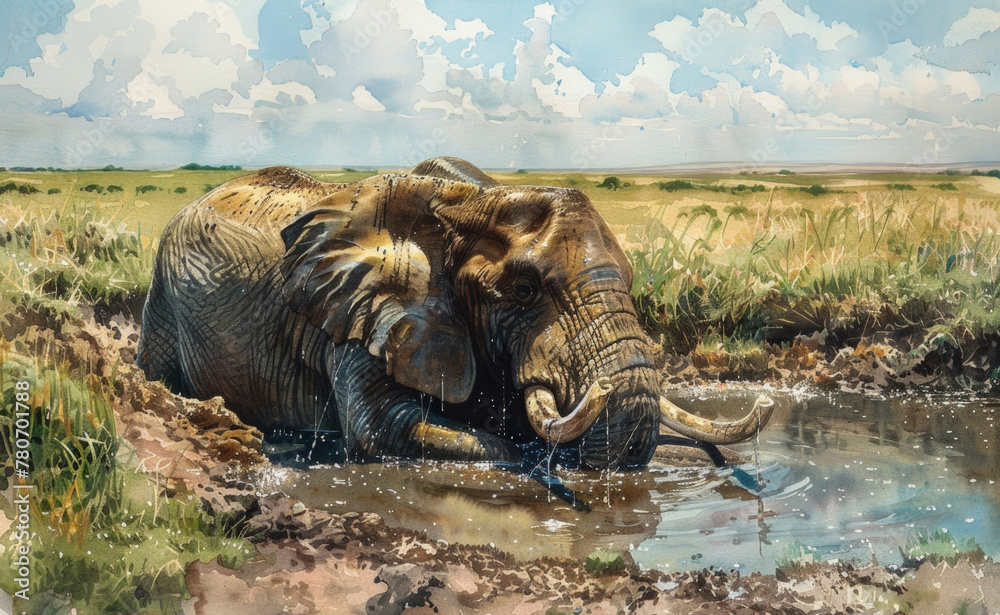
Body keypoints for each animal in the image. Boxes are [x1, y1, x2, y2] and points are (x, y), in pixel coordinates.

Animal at [137, 157, 772, 472]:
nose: (765, 403)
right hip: (161, 290)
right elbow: (381, 425)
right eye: (523, 290)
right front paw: (530, 455)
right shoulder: (356, 318)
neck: (474, 198)